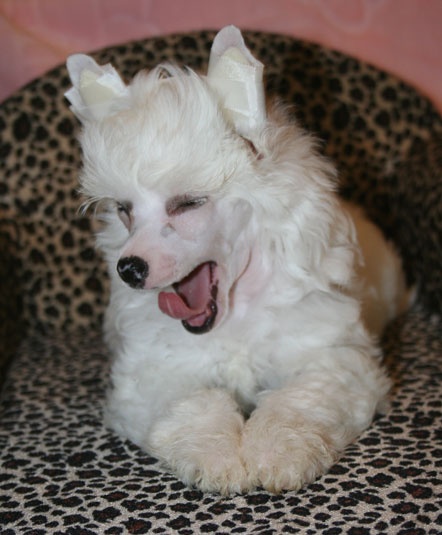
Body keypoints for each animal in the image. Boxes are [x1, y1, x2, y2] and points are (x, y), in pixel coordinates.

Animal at [65, 26, 410, 494]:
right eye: (124, 210)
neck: (237, 310)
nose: (130, 268)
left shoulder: (329, 359)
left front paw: (278, 451)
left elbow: (298, 401)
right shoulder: (155, 374)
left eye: (188, 203)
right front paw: (217, 455)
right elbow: (195, 403)